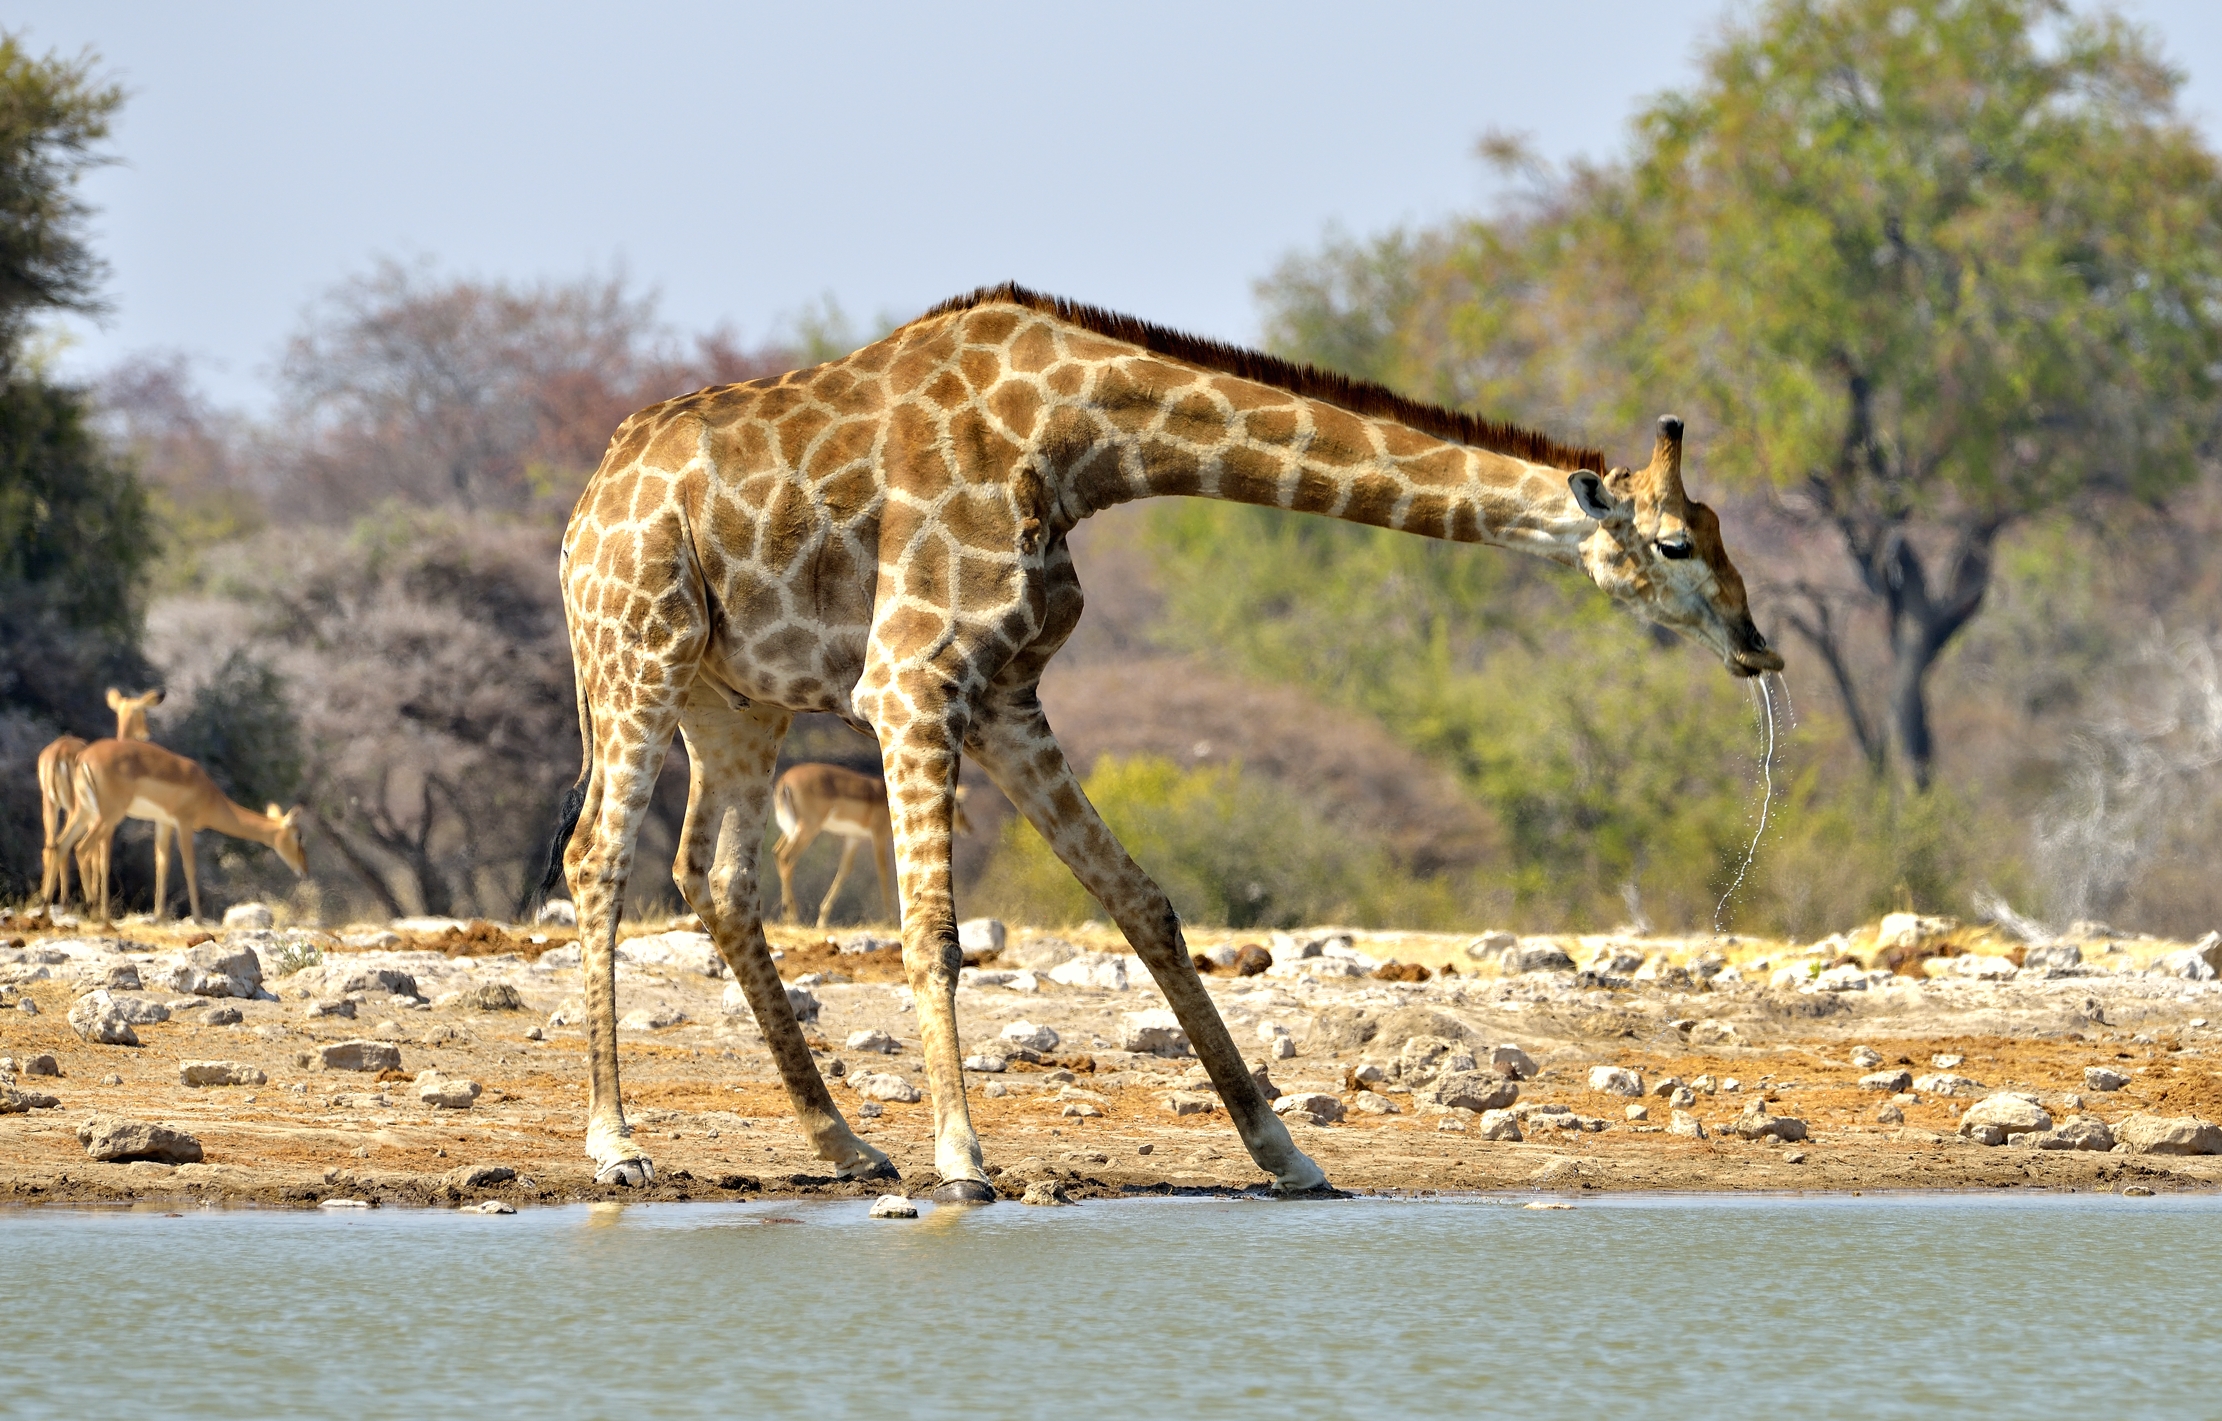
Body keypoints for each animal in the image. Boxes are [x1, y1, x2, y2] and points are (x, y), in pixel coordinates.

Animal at [547, 283, 1782, 1196]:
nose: (1757, 646)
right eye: (1676, 542)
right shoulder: (909, 679)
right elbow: (932, 930)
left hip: (736, 700)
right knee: (596, 858)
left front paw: (1286, 1152)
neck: (1076, 442)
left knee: (715, 879)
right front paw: (964, 1158)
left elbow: (1146, 903)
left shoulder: (1007, 695)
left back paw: (843, 1143)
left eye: (1719, 531)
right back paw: (617, 1145)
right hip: (637, 653)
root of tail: (583, 509)